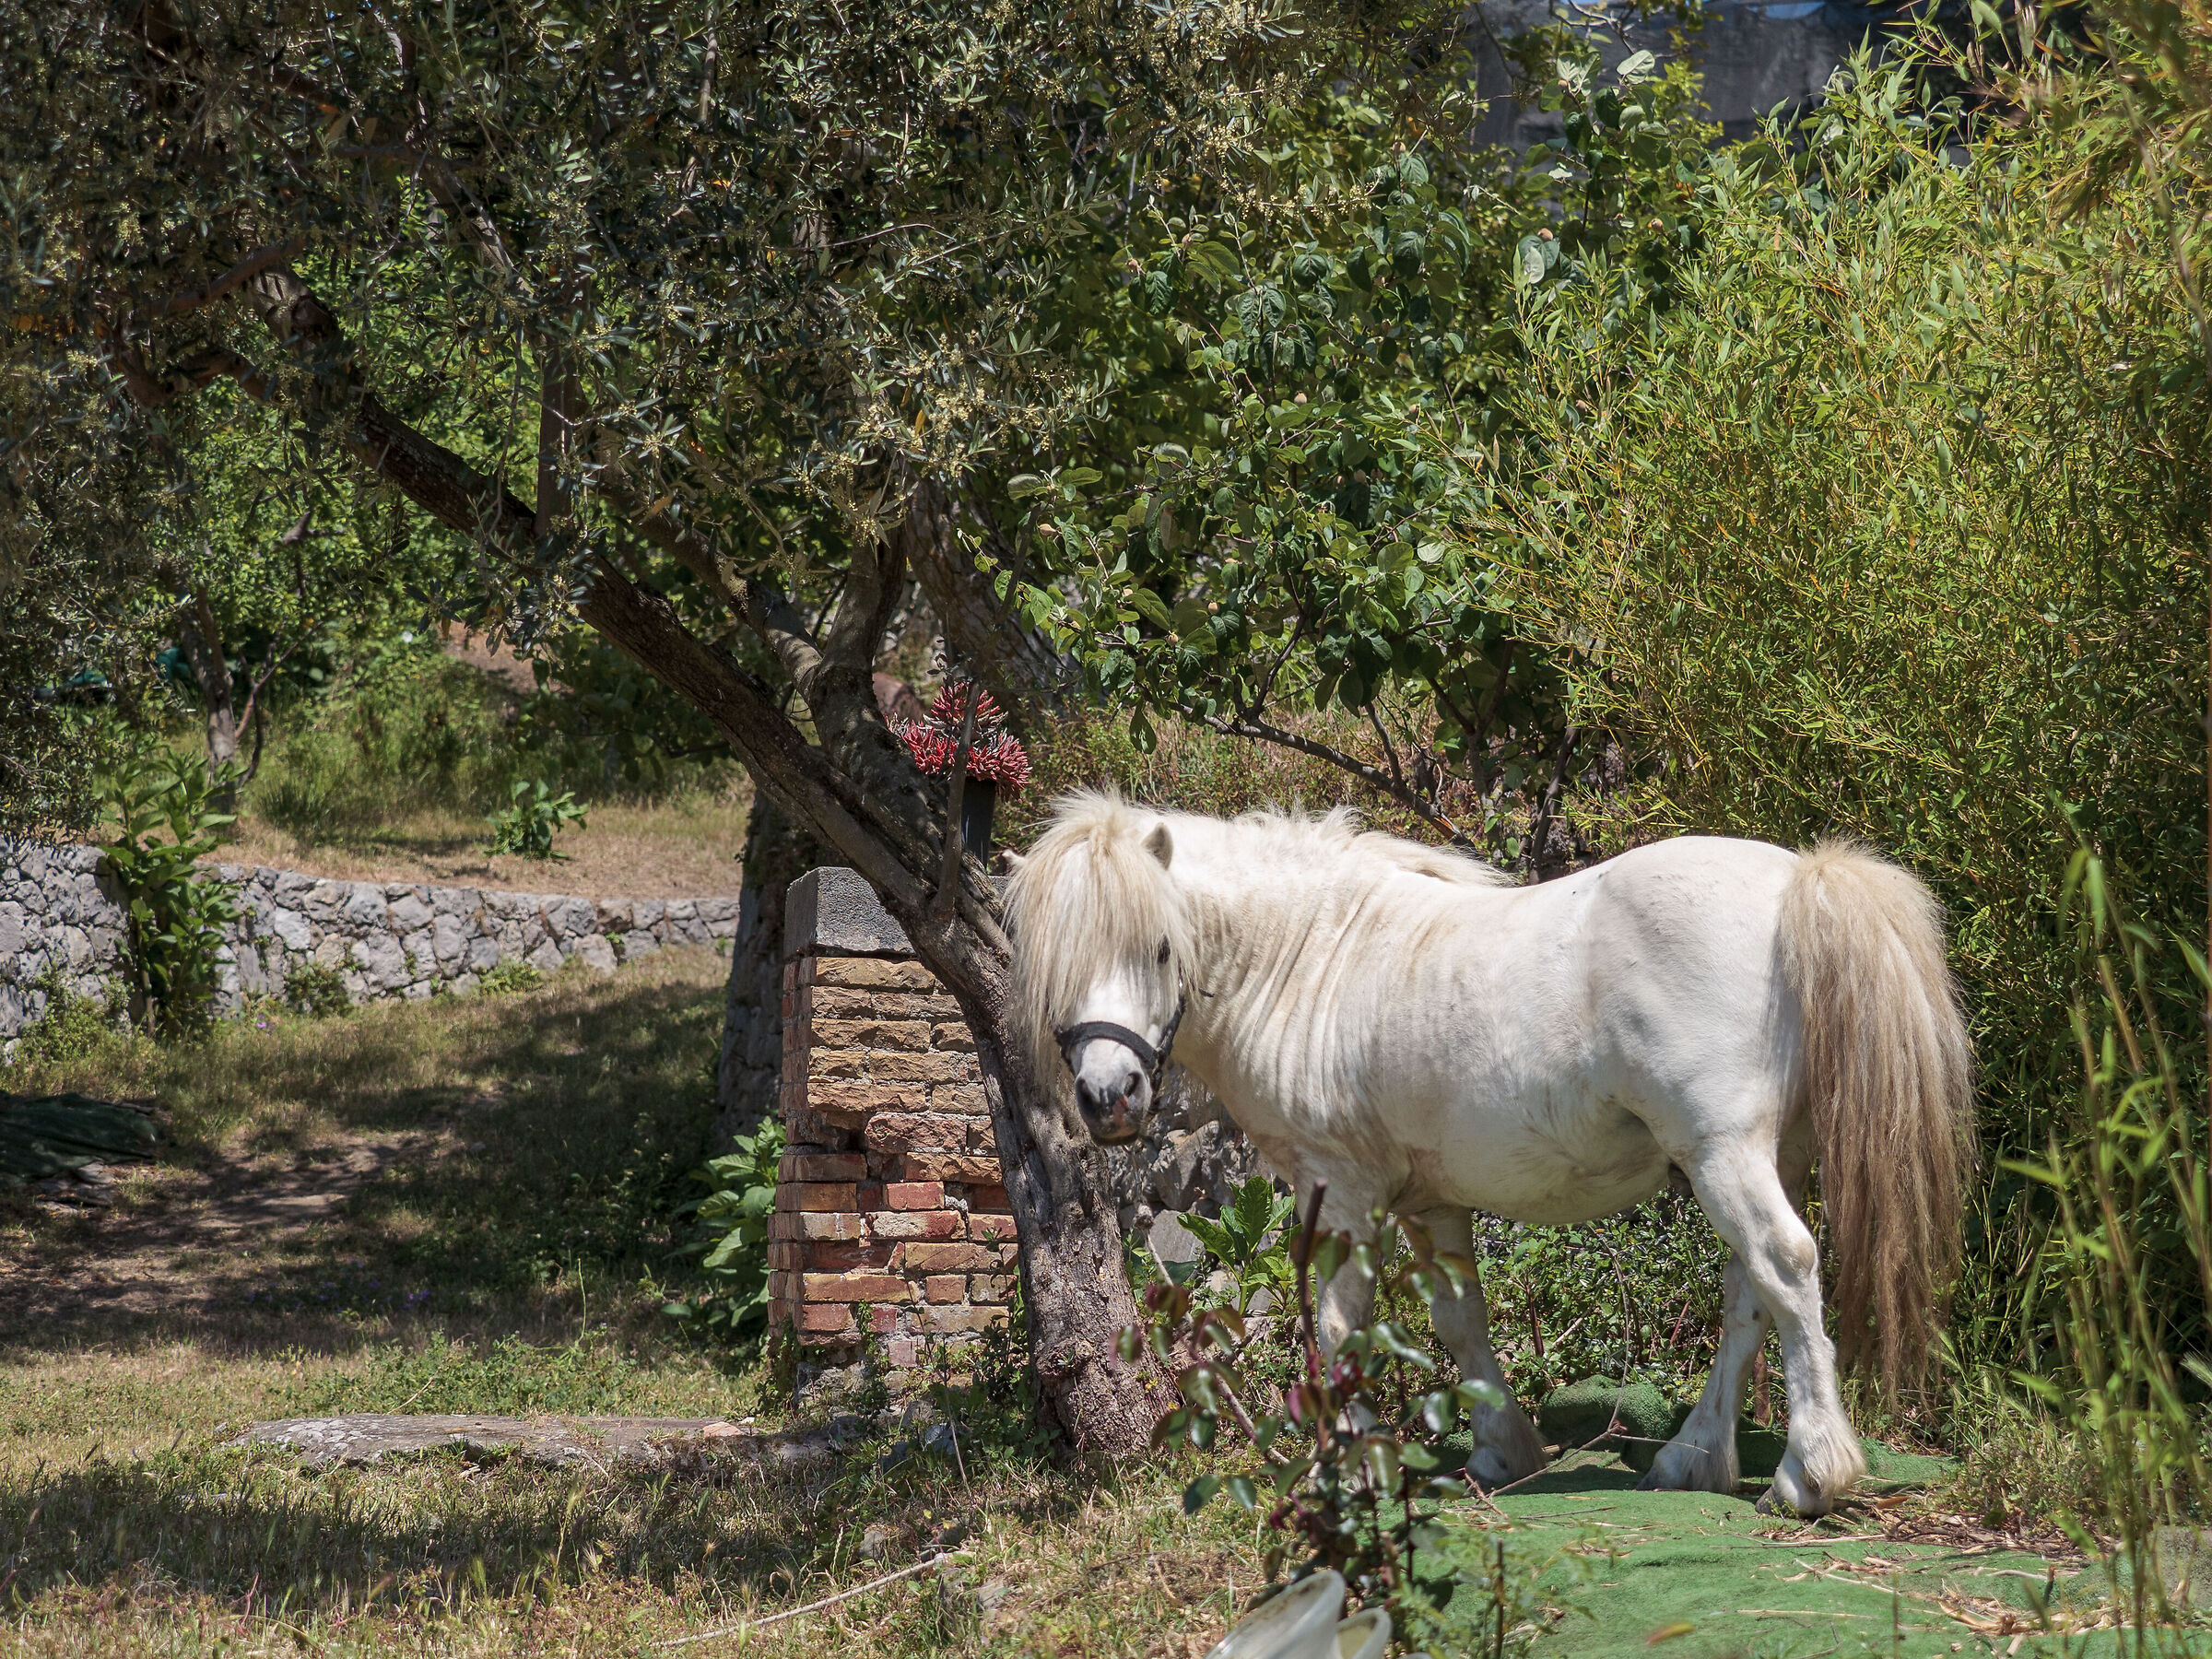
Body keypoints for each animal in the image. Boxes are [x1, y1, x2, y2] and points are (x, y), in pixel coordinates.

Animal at [1004, 792, 1972, 1516]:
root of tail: (1794, 880)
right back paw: (1694, 1457)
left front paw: (1351, 1464)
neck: (1310, 960)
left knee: (1786, 1267)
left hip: (1723, 1153)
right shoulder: (1430, 1202)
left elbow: (1342, 1326)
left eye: (1160, 946)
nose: (1110, 1097)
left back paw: (1809, 1474)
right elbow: (1460, 1320)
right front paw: (1504, 1450)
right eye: (1054, 969)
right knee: (1749, 1296)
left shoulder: (1340, 1188)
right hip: (1768, 1157)